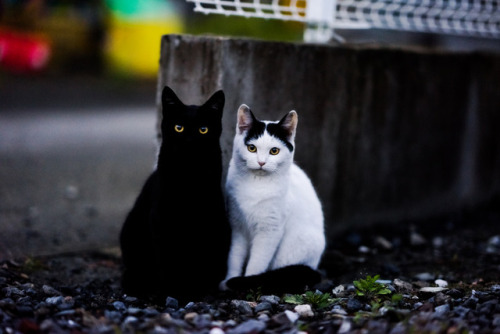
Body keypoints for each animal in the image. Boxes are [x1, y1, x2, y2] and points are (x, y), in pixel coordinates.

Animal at [120, 85, 231, 302]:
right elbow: (167, 260)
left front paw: (193, 291)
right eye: (178, 127)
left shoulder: (208, 217)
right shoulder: (160, 218)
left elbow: (197, 258)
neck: (187, 174)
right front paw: (172, 291)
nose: (189, 141)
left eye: (203, 129)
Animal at [222, 105, 324, 294]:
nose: (261, 162)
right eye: (252, 148)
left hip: (292, 249)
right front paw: (229, 279)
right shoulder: (238, 227)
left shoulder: (270, 231)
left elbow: (257, 263)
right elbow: (234, 257)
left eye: (274, 151)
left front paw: (247, 283)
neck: (256, 185)